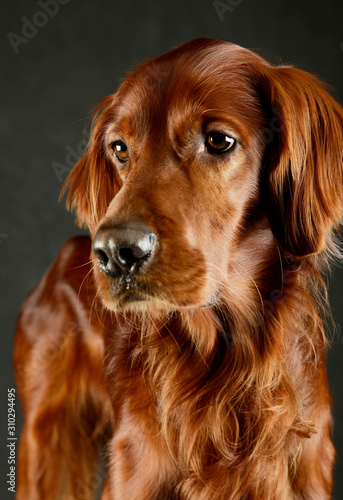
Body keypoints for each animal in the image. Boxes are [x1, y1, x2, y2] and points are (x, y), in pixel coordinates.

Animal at [14, 39, 343, 500]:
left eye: (219, 140)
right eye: (120, 148)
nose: (115, 252)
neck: (226, 358)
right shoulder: (132, 473)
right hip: (45, 439)